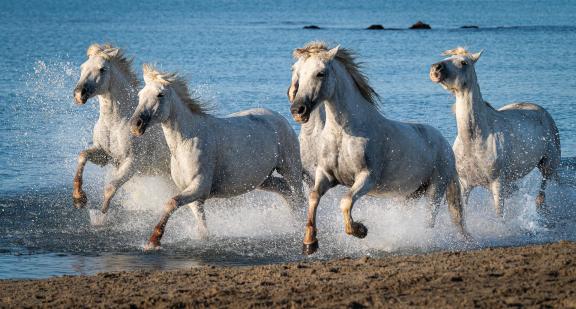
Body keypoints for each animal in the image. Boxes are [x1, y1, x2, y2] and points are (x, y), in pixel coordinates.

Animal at [72, 44, 171, 214]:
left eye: (102, 69)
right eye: (83, 67)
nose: (79, 94)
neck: (115, 122)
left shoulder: (131, 162)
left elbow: (112, 186)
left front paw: (101, 214)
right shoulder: (104, 155)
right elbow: (82, 155)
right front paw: (79, 197)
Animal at [128, 64, 304, 248]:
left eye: (160, 94)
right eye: (140, 95)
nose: (135, 125)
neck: (187, 141)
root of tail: (280, 117)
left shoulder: (199, 187)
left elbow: (171, 203)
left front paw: (154, 240)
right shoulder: (194, 195)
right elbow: (202, 228)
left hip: (290, 169)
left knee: (299, 197)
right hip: (263, 179)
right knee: (285, 191)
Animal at [288, 42, 468, 253]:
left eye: (320, 73)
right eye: (298, 73)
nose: (298, 110)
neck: (344, 133)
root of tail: (445, 144)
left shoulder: (366, 178)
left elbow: (345, 201)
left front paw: (360, 230)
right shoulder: (326, 175)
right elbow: (314, 196)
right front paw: (309, 243)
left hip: (435, 189)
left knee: (428, 220)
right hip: (409, 195)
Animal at [430, 47, 560, 214]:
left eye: (464, 62)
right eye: (448, 57)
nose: (436, 68)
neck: (474, 139)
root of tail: (541, 110)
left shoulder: (497, 184)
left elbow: (499, 214)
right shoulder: (465, 184)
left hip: (549, 164)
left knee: (544, 187)